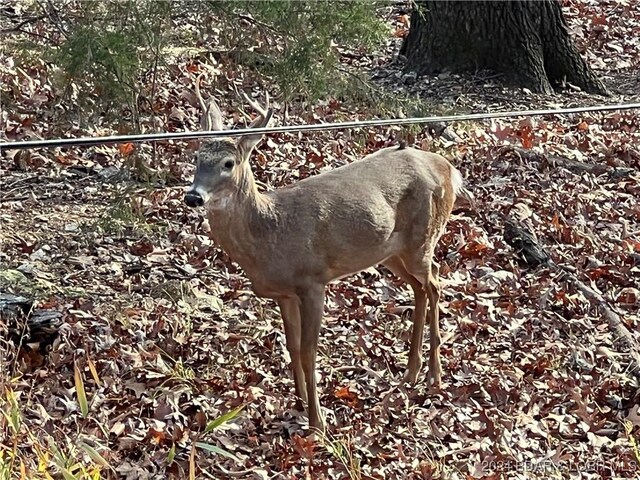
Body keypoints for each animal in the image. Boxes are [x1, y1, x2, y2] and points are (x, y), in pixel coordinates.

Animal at [182, 75, 472, 432]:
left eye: (228, 163)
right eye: (197, 157)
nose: (193, 196)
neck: (271, 234)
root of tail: (449, 169)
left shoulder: (313, 281)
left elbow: (309, 351)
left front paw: (317, 421)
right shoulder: (284, 293)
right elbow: (291, 346)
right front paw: (298, 402)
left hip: (423, 237)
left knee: (435, 285)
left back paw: (434, 373)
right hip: (390, 251)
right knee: (421, 288)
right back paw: (412, 371)